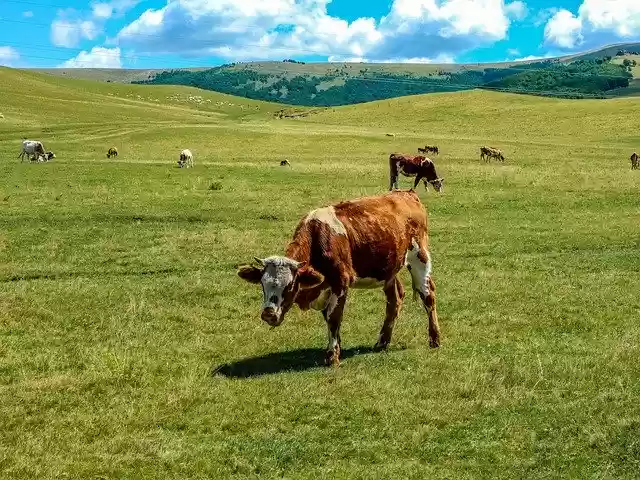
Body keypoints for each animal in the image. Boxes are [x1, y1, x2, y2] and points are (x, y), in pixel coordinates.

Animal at [237, 190, 441, 366]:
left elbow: (334, 317)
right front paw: (337, 347)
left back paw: (435, 339)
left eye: (289, 286)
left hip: (419, 258)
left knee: (428, 296)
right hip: (389, 271)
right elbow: (328, 319)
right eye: (263, 284)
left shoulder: (341, 282)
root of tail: (407, 193)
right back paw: (382, 342)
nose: (268, 313)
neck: (318, 238)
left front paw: (332, 355)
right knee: (394, 300)